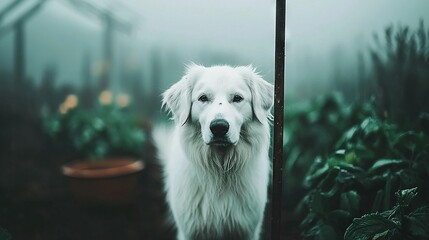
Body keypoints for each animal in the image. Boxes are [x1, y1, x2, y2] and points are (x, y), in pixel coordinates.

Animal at [155, 64, 272, 240]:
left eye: (237, 98)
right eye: (203, 98)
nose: (219, 127)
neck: (220, 169)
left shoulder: (247, 230)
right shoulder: (190, 230)